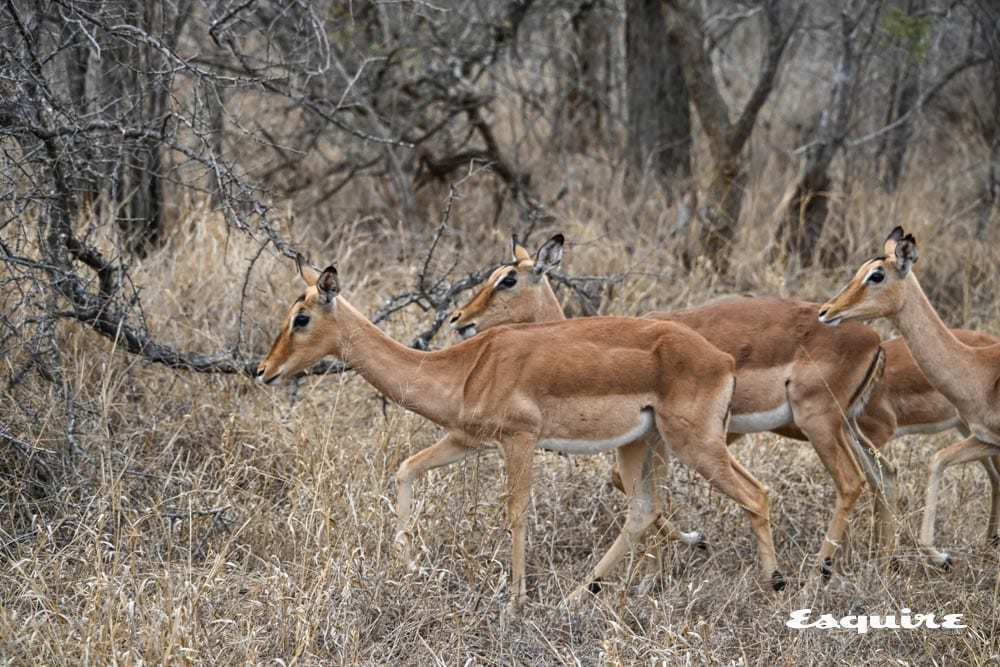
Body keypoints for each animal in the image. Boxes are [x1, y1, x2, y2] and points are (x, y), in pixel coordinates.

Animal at [257, 255, 784, 609]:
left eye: (301, 317)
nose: (263, 370)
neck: (467, 365)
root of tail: (723, 359)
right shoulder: (465, 439)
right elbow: (404, 470)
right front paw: (412, 565)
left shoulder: (519, 439)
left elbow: (516, 513)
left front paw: (514, 600)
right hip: (641, 444)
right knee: (642, 510)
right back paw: (578, 595)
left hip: (695, 444)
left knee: (757, 494)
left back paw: (775, 585)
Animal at [449, 235, 891, 576]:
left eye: (507, 279)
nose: (458, 318)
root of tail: (875, 339)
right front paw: (664, 562)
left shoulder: (656, 441)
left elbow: (636, 491)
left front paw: (682, 550)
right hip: (844, 426)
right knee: (882, 474)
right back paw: (882, 556)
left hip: (815, 424)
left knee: (850, 482)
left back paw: (818, 572)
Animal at [819, 226, 1000, 567]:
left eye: (876, 275)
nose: (826, 311)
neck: (980, 371)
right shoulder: (988, 437)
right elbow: (937, 459)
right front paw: (940, 555)